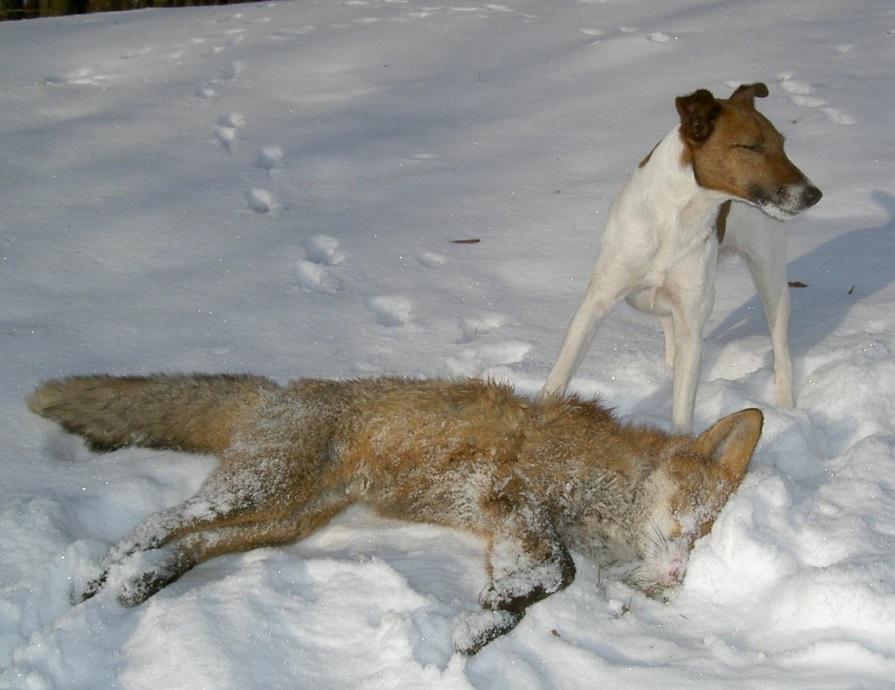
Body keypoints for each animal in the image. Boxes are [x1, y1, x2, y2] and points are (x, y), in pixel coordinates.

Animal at [28, 374, 764, 652]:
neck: (604, 487)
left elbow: (539, 585)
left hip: (287, 519)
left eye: (705, 540)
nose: (675, 577)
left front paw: (489, 619)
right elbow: (561, 573)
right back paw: (96, 581)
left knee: (186, 544)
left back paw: (139, 582)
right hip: (261, 490)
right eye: (696, 521)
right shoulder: (512, 495)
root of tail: (277, 391)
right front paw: (491, 617)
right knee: (154, 524)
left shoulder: (506, 527)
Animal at [544, 82, 824, 430]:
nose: (814, 194)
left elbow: (682, 408)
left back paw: (786, 410)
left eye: (783, 145)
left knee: (781, 349)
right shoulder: (598, 300)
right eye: (752, 146)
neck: (677, 218)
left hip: (769, 274)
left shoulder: (692, 322)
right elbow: (561, 371)